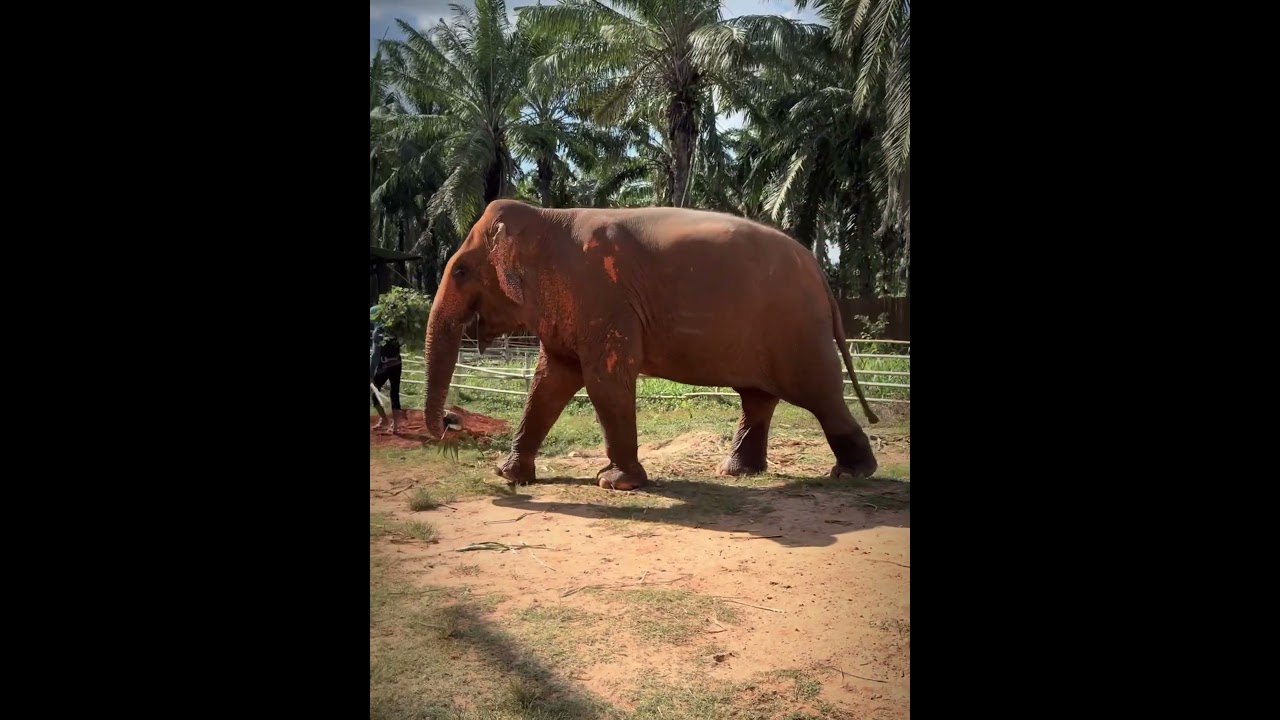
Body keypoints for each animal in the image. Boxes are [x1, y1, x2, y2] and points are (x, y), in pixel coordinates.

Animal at [422, 199, 881, 491]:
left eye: (460, 271)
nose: (450, 421)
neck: (545, 216)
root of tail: (820, 272)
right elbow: (549, 383)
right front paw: (508, 475)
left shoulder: (603, 299)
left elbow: (603, 380)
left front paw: (615, 484)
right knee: (758, 398)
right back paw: (737, 472)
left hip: (797, 331)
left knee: (819, 394)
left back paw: (852, 474)